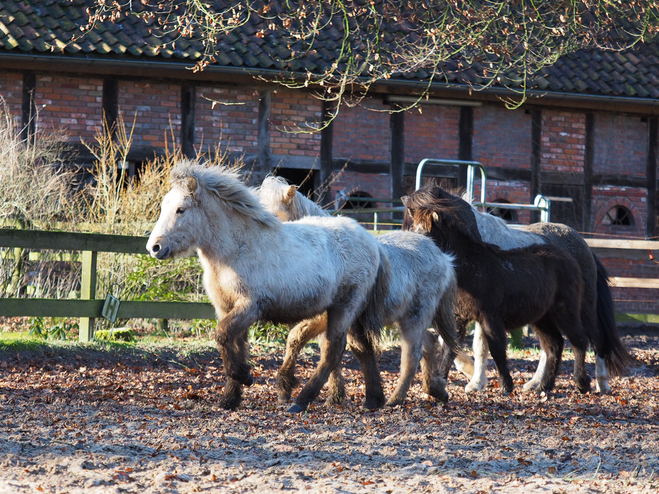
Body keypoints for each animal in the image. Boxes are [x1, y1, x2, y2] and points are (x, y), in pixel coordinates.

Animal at [145, 163, 384, 412]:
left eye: (181, 209)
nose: (154, 247)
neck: (235, 250)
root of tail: (369, 239)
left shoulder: (250, 307)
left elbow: (221, 335)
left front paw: (245, 376)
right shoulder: (226, 309)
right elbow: (234, 345)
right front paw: (230, 398)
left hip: (343, 308)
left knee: (333, 351)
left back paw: (301, 400)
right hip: (345, 312)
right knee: (362, 349)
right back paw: (373, 400)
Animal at [255, 177, 462, 406]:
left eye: (273, 217)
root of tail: (443, 258)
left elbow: (325, 346)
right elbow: (299, 339)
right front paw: (324, 394)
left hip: (415, 318)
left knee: (412, 355)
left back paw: (395, 399)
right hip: (407, 317)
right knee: (429, 344)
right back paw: (436, 390)